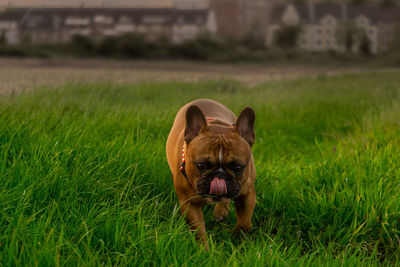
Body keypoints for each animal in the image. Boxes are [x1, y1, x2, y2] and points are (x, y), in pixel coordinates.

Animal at [166, 99, 256, 247]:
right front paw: (204, 250)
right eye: (201, 165)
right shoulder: (190, 204)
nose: (219, 177)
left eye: (238, 168)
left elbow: (245, 222)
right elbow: (198, 231)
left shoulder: (246, 194)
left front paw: (237, 238)